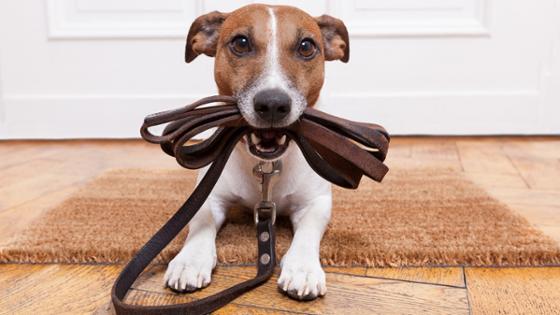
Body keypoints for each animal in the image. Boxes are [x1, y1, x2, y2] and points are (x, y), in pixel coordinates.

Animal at [164, 4, 350, 302]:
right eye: (241, 43)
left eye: (306, 46)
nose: (273, 104)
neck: (266, 165)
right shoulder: (209, 196)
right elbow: (200, 221)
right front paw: (189, 260)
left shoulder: (316, 203)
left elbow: (309, 231)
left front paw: (303, 268)